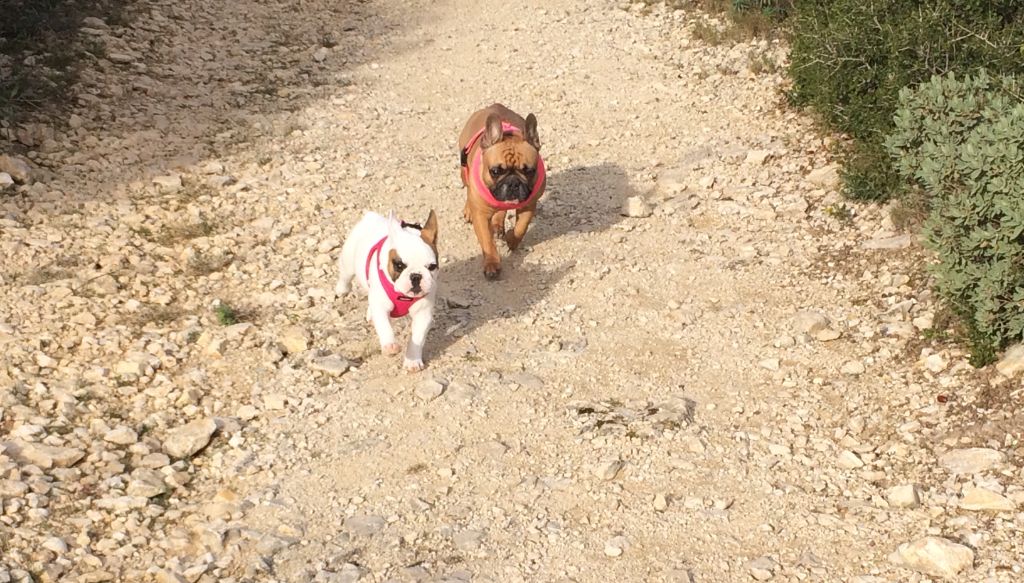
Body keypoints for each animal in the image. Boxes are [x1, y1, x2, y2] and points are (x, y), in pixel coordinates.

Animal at [337, 211, 438, 370]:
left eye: (432, 267)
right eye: (399, 265)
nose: (416, 276)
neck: (403, 295)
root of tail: (372, 216)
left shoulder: (423, 314)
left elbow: (417, 338)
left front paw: (413, 361)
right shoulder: (381, 307)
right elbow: (385, 326)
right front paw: (390, 346)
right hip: (348, 262)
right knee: (345, 276)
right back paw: (342, 289)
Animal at [460, 102, 548, 278]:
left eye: (529, 171)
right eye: (495, 171)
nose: (513, 182)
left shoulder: (528, 206)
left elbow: (521, 227)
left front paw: (511, 240)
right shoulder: (481, 216)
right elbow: (487, 241)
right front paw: (492, 264)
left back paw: (498, 224)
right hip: (463, 171)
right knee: (467, 187)